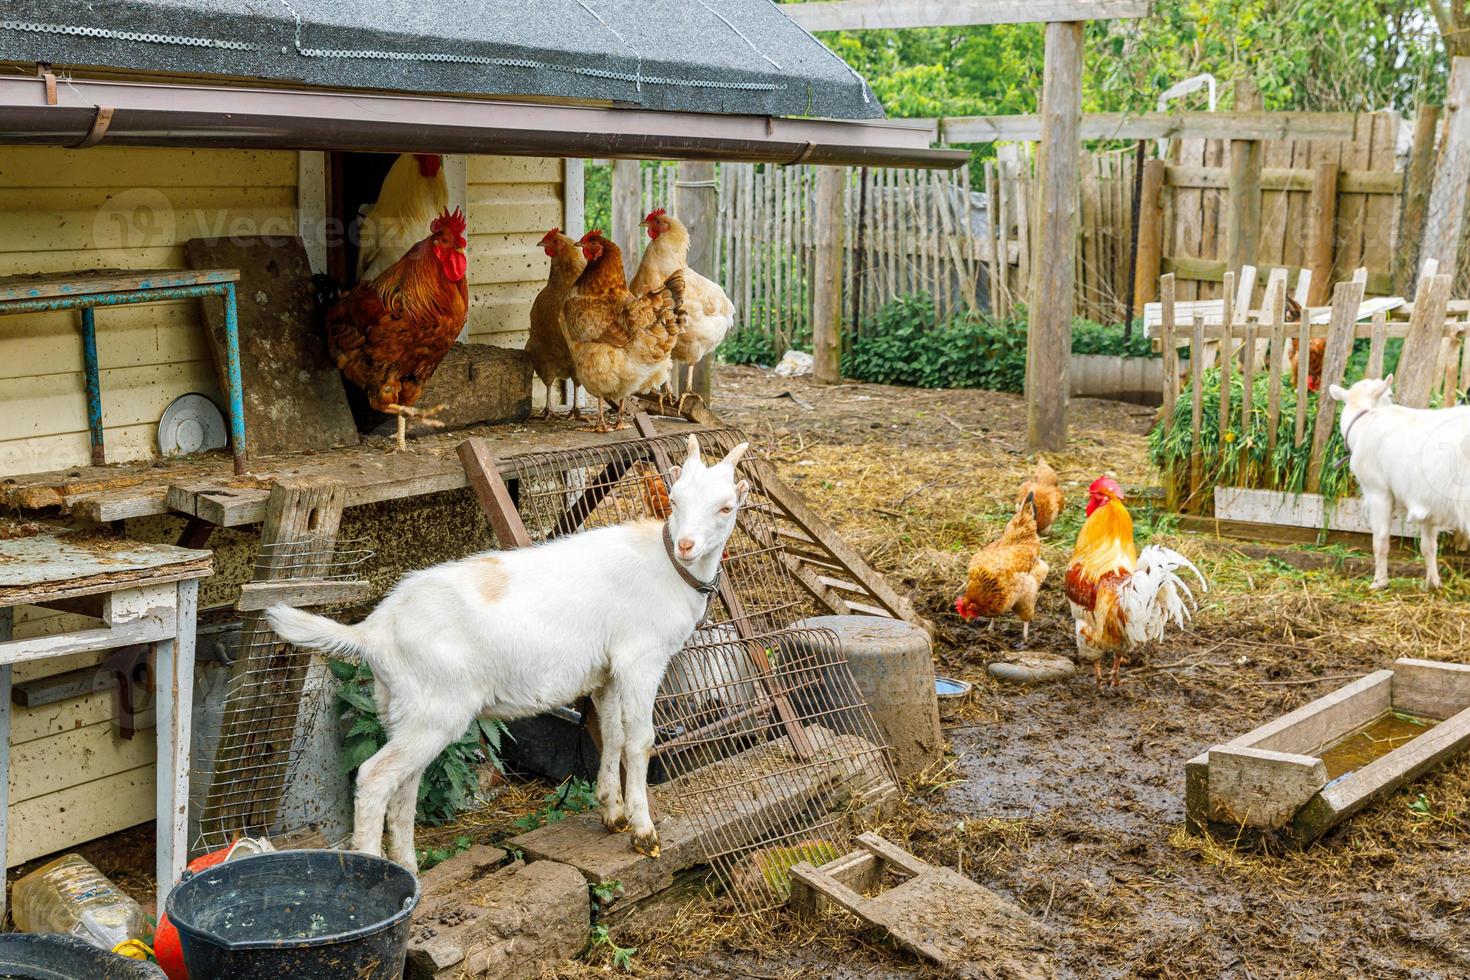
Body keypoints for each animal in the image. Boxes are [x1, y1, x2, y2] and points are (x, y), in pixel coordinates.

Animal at [267, 437, 746, 875]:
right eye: (675, 498)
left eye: (726, 507)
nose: (686, 545)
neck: (667, 568)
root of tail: (375, 629)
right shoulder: (640, 660)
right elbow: (640, 741)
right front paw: (644, 833)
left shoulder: (608, 670)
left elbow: (610, 735)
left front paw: (612, 813)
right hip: (434, 708)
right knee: (374, 777)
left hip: (403, 709)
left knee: (405, 786)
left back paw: (409, 870)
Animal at [1328, 376, 1470, 590]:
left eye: (1390, 394)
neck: (1365, 421)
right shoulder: (1426, 501)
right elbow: (1429, 546)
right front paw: (1433, 583)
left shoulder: (1378, 491)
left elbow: (1380, 540)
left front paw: (1378, 582)